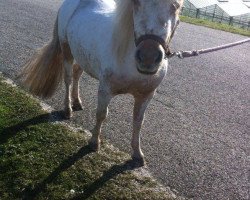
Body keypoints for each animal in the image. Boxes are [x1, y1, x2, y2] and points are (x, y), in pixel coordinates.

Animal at [21, 0, 184, 166]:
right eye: (136, 3)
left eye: (176, 6)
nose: (148, 58)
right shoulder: (105, 90)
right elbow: (101, 114)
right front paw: (94, 142)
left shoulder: (146, 96)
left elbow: (138, 121)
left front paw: (137, 154)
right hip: (67, 51)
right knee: (68, 79)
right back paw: (68, 109)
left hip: (83, 57)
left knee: (77, 74)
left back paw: (77, 101)